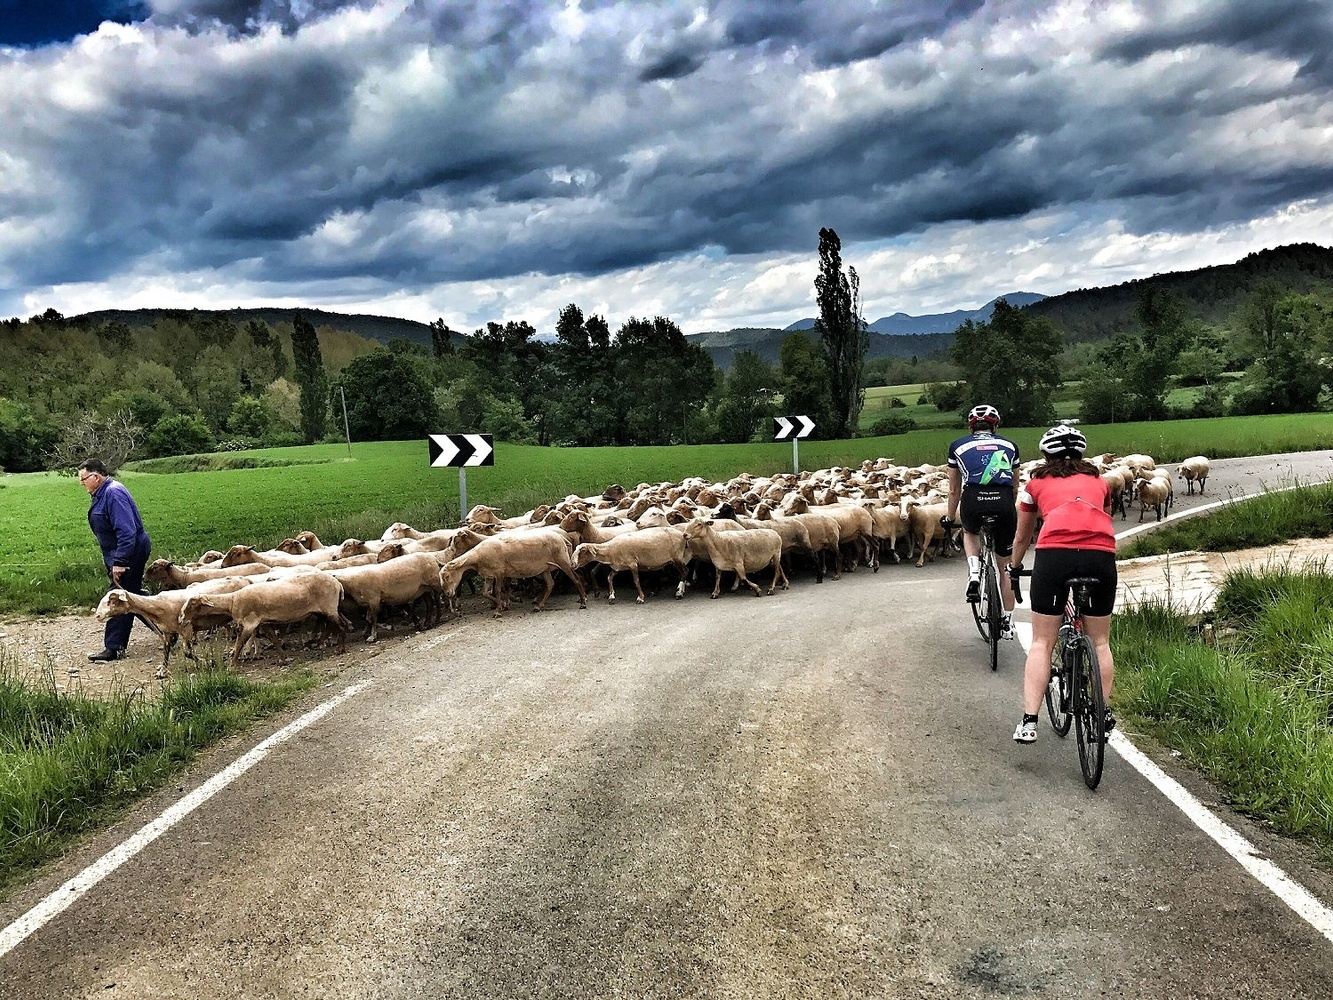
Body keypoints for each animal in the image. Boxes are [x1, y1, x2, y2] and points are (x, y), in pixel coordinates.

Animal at [179, 573, 349, 666]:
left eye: (192, 603)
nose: (181, 619)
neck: (232, 601)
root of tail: (337, 584)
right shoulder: (263, 622)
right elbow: (274, 639)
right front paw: (283, 659)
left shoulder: (249, 623)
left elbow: (239, 644)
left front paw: (232, 664)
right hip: (329, 608)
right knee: (339, 623)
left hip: (329, 606)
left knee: (340, 625)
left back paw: (340, 649)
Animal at [438, 529, 588, 615]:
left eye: (447, 576)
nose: (447, 593)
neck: (477, 556)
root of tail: (563, 538)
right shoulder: (489, 575)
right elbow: (485, 593)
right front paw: (503, 604)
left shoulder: (499, 572)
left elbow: (498, 590)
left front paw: (500, 609)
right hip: (545, 567)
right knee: (550, 584)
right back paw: (539, 606)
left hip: (562, 560)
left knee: (575, 579)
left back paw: (583, 602)